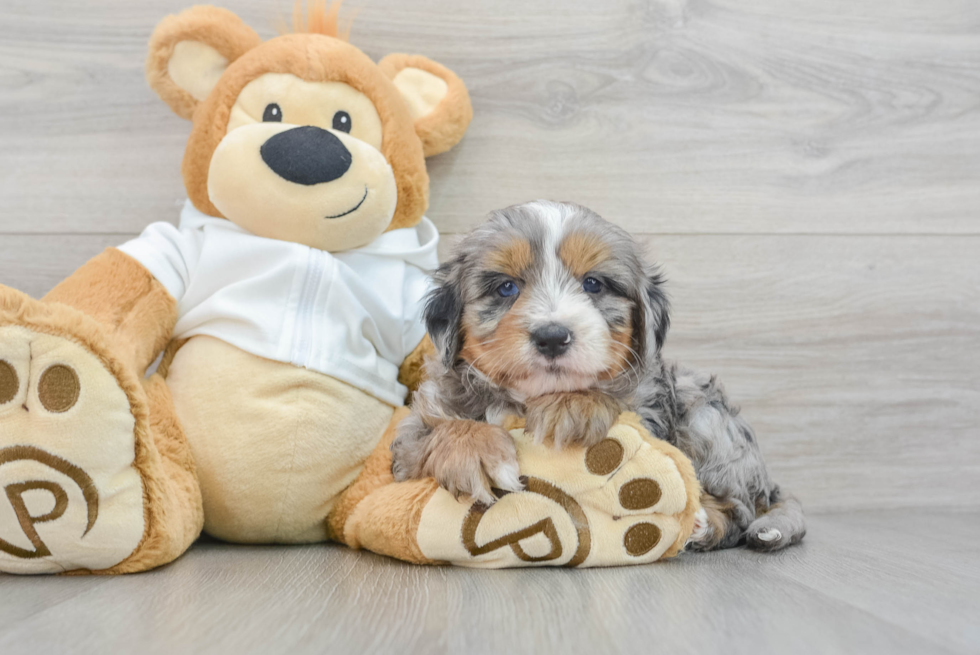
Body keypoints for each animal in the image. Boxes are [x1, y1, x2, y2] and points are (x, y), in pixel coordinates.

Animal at [388, 201, 804, 552]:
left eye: (593, 284)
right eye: (506, 287)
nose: (552, 336)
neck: (528, 398)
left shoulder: (648, 410)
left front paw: (574, 406)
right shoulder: (411, 438)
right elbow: (432, 432)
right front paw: (475, 452)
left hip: (706, 416)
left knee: (740, 510)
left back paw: (701, 525)